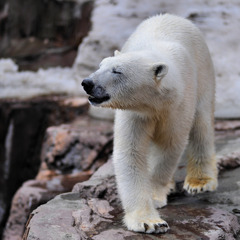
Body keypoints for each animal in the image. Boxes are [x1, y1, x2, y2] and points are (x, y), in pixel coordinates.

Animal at [81, 14, 218, 233]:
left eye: (117, 71)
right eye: (100, 65)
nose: (88, 83)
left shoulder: (178, 103)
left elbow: (169, 145)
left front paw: (155, 197)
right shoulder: (135, 113)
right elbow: (131, 153)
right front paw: (149, 222)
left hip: (204, 71)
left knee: (202, 123)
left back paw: (199, 182)